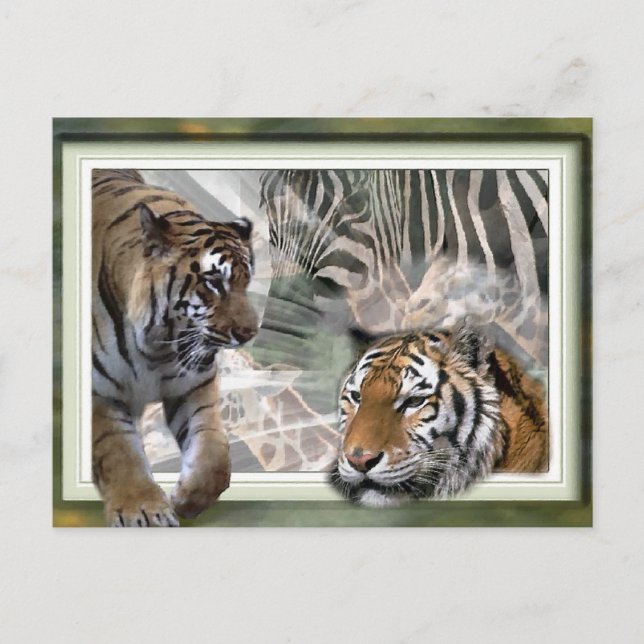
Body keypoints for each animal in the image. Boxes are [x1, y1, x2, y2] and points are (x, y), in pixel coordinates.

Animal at [92, 169, 258, 526]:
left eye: (246, 281)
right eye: (214, 282)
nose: (250, 333)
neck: (159, 344)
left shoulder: (194, 385)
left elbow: (213, 454)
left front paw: (186, 499)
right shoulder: (100, 392)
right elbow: (118, 451)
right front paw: (142, 510)